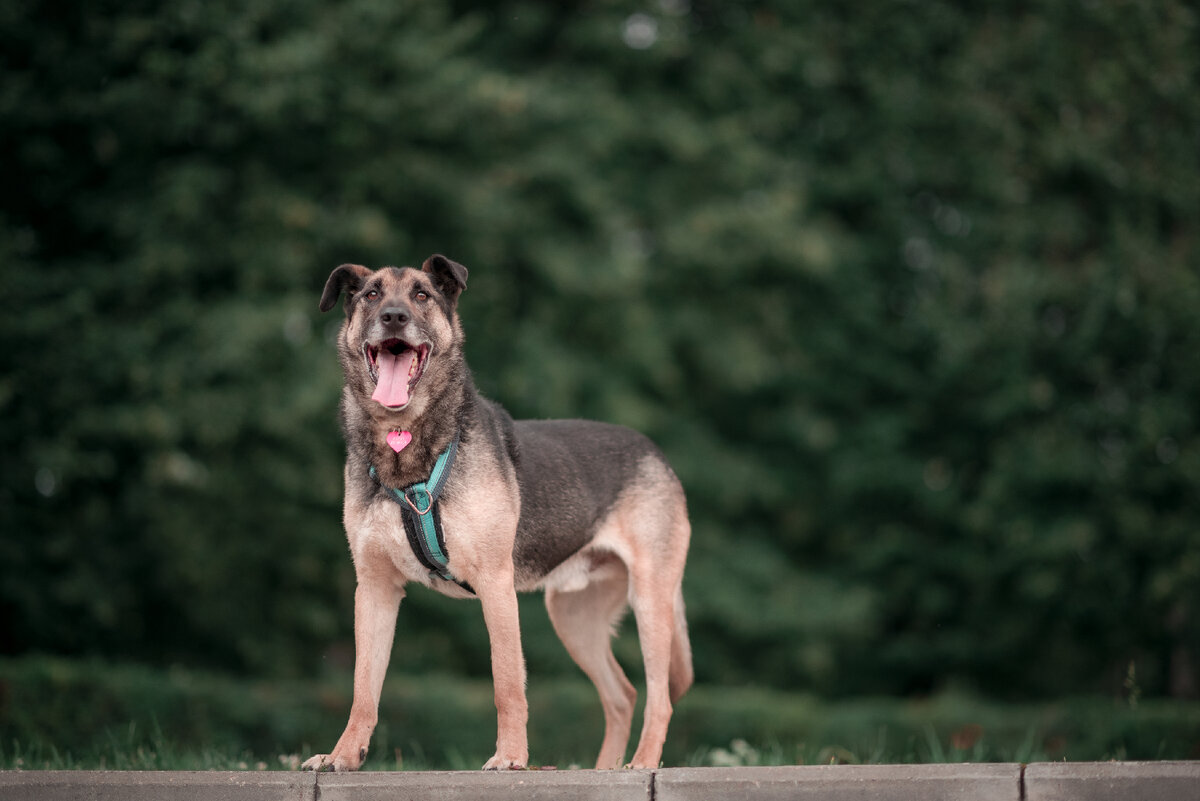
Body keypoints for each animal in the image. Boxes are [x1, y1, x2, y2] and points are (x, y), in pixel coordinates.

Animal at [300, 255, 696, 767]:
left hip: (650, 601)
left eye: (422, 295)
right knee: (622, 695)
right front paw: (343, 756)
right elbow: (363, 689)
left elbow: (507, 684)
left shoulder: (495, 582)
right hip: (574, 617)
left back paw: (642, 764)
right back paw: (606, 770)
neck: (405, 441)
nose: (393, 317)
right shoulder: (374, 589)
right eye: (371, 295)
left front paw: (510, 758)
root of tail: (655, 452)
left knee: (658, 697)